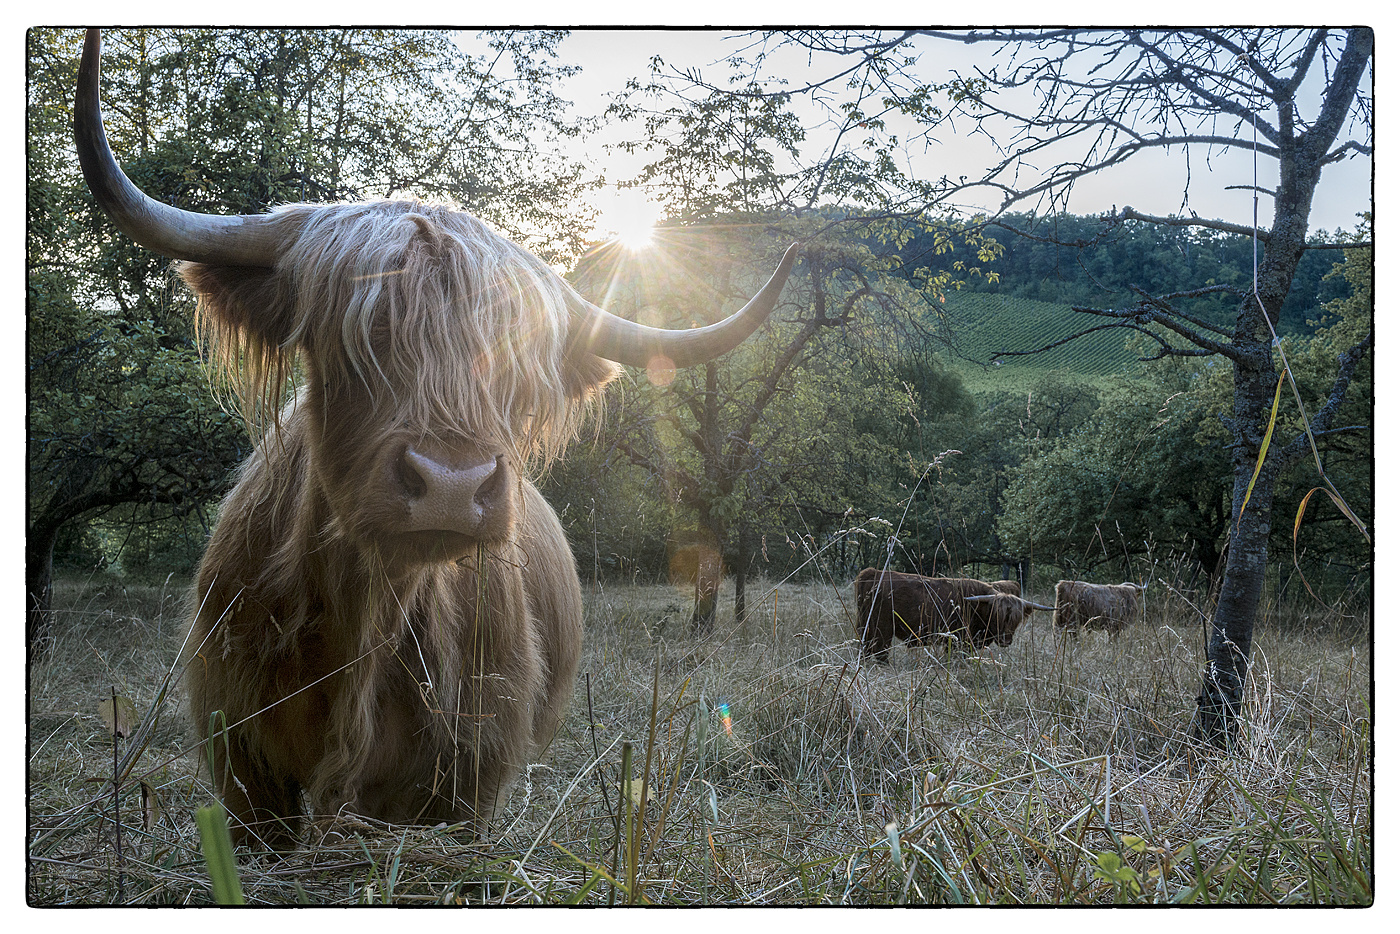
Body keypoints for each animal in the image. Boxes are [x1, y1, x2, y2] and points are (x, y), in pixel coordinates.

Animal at [73, 29, 800, 851]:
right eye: (352, 334)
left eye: (516, 365)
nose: (452, 484)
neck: (361, 623)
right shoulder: (243, 771)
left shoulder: (467, 785)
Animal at [851, 565, 1052, 660]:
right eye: (997, 615)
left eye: (1016, 619)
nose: (1005, 640)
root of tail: (874, 573)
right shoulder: (959, 640)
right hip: (881, 629)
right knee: (879, 652)